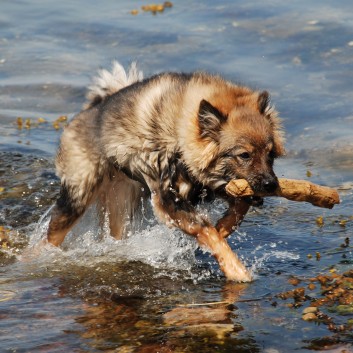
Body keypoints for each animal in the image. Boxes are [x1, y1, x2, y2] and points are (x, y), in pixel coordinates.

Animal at [46, 61, 284, 280]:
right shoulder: (169, 199)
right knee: (50, 236)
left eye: (270, 154)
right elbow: (208, 231)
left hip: (121, 206)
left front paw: (224, 226)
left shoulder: (206, 184)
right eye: (244, 155)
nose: (271, 184)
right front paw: (236, 270)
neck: (177, 130)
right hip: (77, 199)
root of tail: (89, 110)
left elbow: (239, 207)